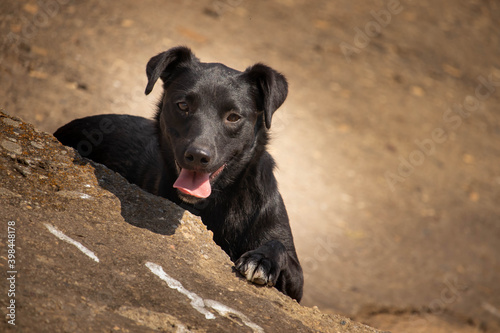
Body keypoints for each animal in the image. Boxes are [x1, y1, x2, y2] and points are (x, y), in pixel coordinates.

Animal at [55, 46, 304, 300]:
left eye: (233, 117)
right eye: (183, 106)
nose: (198, 155)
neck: (213, 203)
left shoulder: (295, 280)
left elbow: (279, 247)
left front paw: (262, 259)